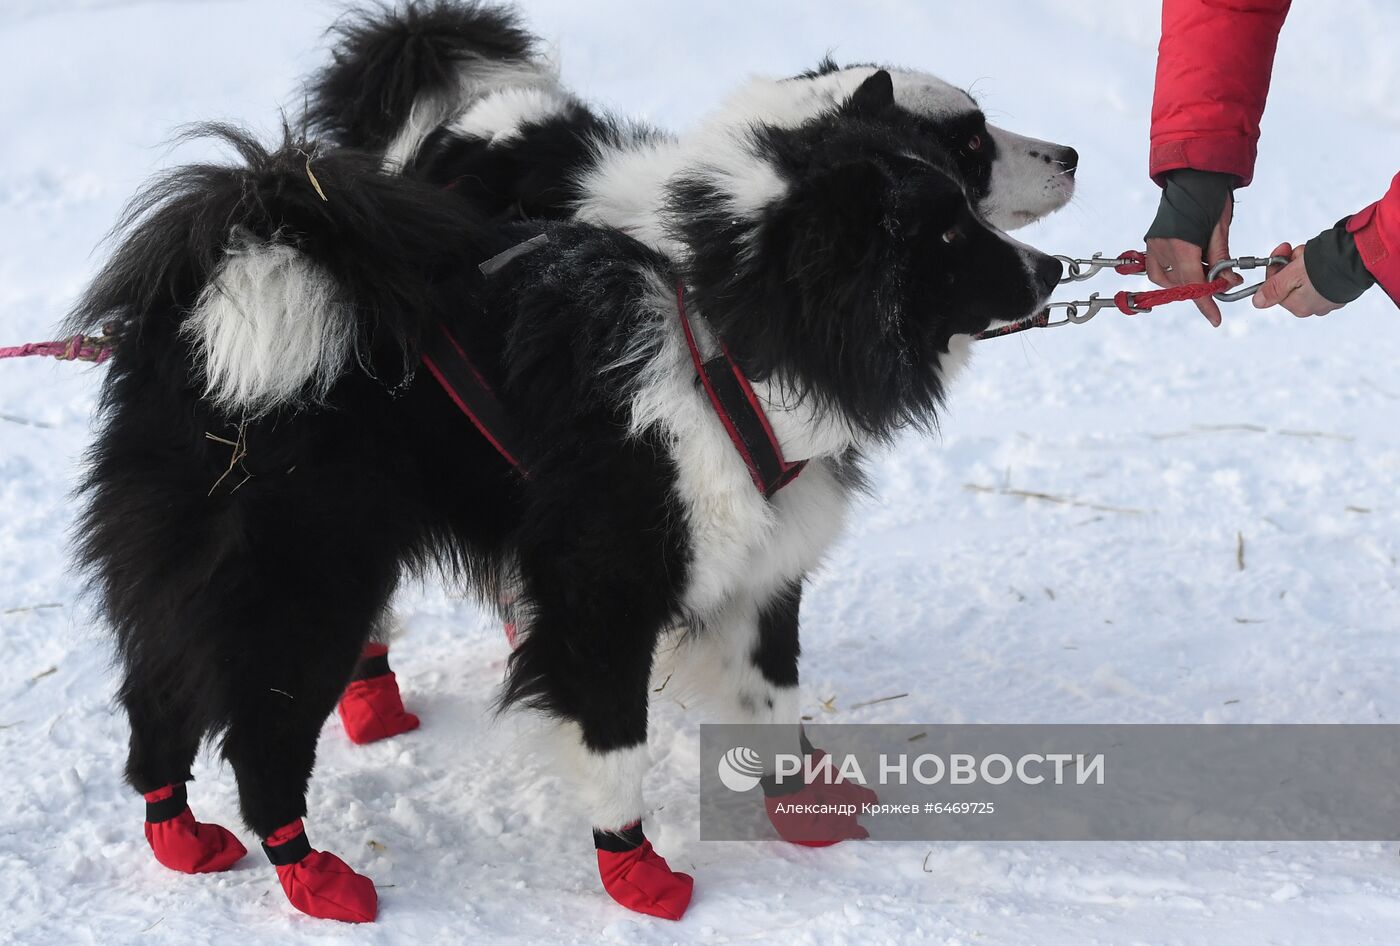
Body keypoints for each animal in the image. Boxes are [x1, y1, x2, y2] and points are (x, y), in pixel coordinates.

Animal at [71, 1, 1075, 929]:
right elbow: (614, 737)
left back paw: (190, 830)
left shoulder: (761, 563)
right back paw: (315, 869)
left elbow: (770, 692)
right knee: (258, 733)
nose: (1057, 266)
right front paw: (634, 868)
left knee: (158, 698)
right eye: (968, 158)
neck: (720, 336)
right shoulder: (607, 585)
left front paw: (800, 798)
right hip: (306, 577)